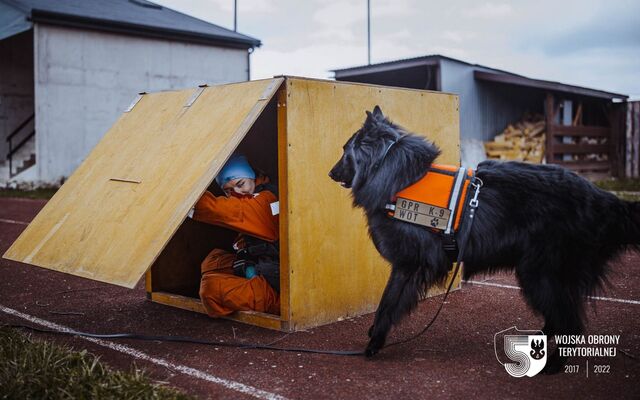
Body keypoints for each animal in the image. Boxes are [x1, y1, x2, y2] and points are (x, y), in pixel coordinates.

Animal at [330, 105, 640, 372]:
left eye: (345, 151)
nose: (330, 173)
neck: (396, 176)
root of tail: (603, 198)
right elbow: (385, 301)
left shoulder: (409, 266)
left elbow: (389, 303)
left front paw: (375, 342)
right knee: (560, 318)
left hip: (540, 274)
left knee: (571, 324)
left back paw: (553, 363)